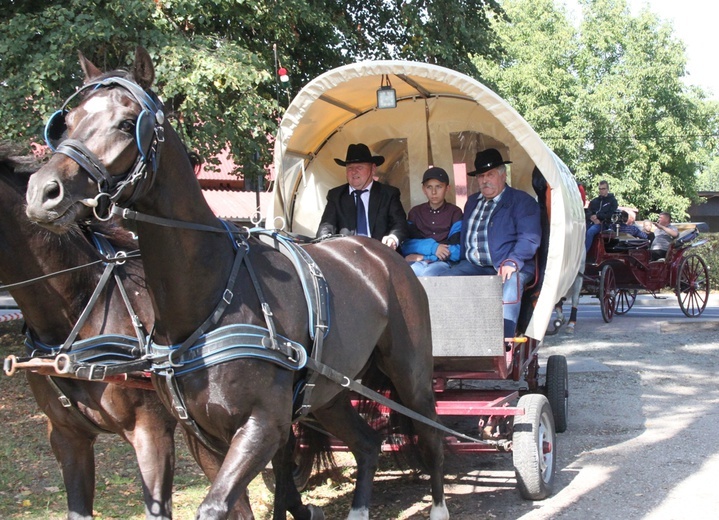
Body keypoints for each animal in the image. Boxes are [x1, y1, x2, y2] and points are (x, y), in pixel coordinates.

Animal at [25, 48, 450, 520]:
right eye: (68, 119)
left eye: (126, 122)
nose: (43, 191)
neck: (210, 297)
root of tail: (380, 253)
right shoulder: (203, 434)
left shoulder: (261, 425)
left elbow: (216, 505)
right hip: (331, 391)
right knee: (367, 443)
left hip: (410, 374)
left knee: (431, 435)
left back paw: (438, 506)